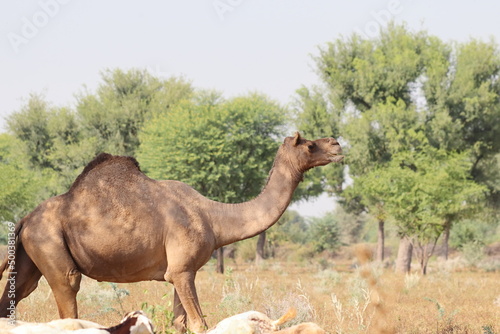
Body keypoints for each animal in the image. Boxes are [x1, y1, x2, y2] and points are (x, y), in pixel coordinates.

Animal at [0, 132, 344, 332]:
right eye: (309, 144)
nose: (337, 144)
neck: (213, 217)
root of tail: (25, 219)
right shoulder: (181, 270)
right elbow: (199, 323)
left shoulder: (181, 271)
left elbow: (180, 323)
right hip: (50, 245)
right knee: (68, 291)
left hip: (29, 257)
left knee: (14, 298)